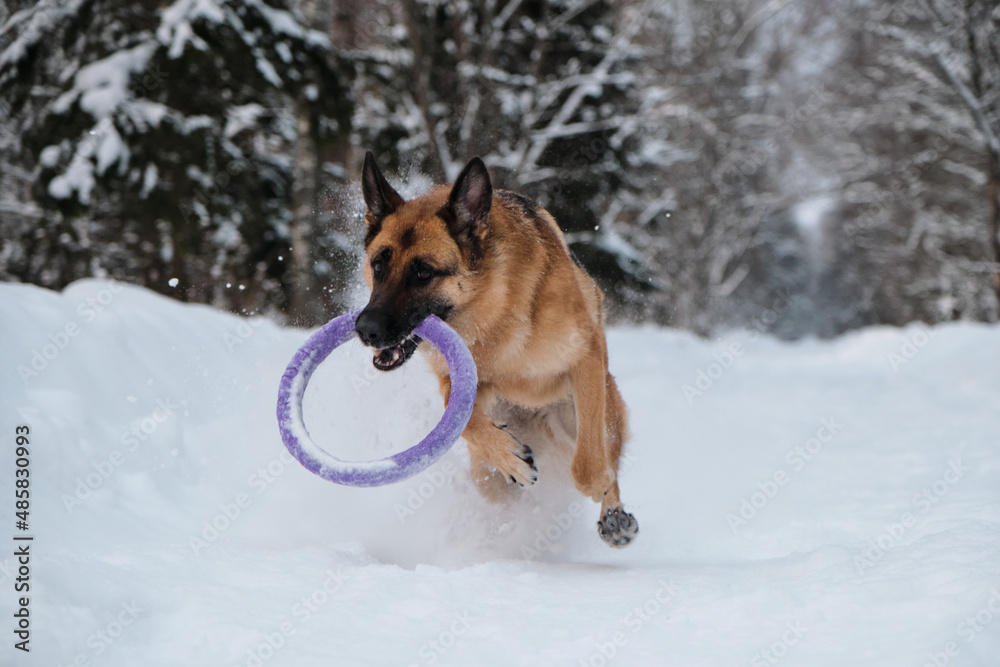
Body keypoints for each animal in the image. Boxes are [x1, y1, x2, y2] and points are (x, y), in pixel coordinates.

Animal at [360, 151, 636, 548]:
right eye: (379, 265)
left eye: (423, 272)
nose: (365, 329)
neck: (491, 310)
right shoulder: (457, 382)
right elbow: (462, 417)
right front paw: (509, 457)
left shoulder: (585, 359)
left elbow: (589, 468)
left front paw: (599, 487)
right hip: (485, 476)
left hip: (596, 408)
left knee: (603, 451)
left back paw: (613, 515)